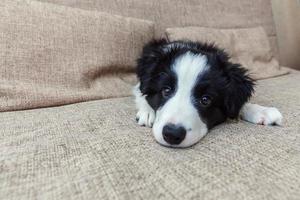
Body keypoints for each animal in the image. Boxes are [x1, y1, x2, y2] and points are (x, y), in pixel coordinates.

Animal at [134, 39, 282, 148]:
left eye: (205, 100)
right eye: (166, 90)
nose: (172, 134)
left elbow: (238, 105)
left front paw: (261, 111)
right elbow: (140, 92)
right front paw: (147, 112)